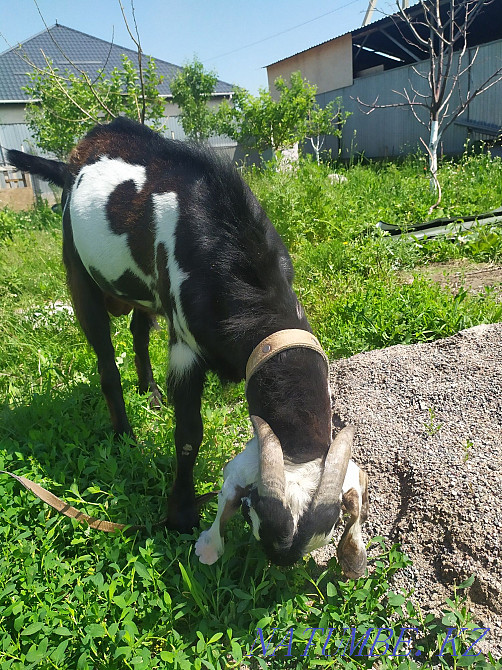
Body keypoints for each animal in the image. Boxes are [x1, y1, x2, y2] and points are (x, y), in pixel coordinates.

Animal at [8, 117, 367, 574]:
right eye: (251, 507)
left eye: (334, 523)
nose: (279, 561)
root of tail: (75, 159)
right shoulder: (185, 349)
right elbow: (188, 435)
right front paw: (180, 514)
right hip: (78, 273)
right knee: (106, 359)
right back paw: (125, 435)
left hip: (143, 292)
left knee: (138, 330)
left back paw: (150, 393)